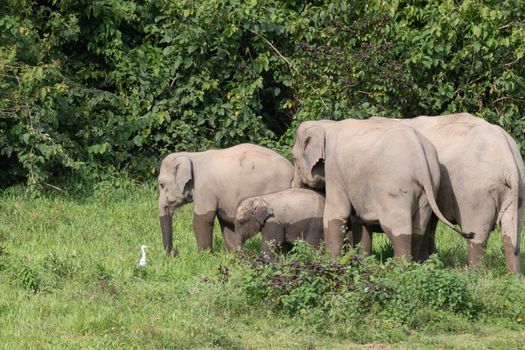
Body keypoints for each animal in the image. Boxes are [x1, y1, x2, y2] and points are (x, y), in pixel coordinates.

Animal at [156, 142, 294, 254]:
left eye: (161, 184)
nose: (174, 252)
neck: (191, 155)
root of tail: (292, 173)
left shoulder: (204, 187)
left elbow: (203, 219)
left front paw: (203, 255)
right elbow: (225, 220)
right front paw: (236, 254)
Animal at [290, 119, 470, 262]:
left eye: (293, 157)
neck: (329, 124)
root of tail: (419, 151)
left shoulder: (335, 170)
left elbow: (337, 212)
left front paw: (332, 262)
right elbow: (360, 220)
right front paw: (362, 262)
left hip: (395, 186)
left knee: (396, 227)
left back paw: (401, 268)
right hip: (430, 186)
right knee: (419, 227)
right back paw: (415, 265)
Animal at [380, 113, 520, 274]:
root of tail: (508, 158)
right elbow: (430, 223)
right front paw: (431, 260)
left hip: (476, 192)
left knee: (477, 232)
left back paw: (473, 274)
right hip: (517, 187)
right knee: (512, 232)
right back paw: (514, 275)